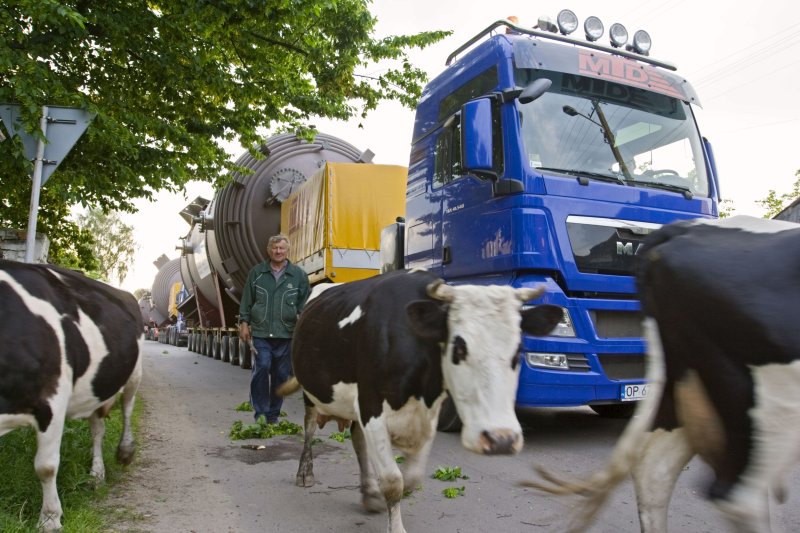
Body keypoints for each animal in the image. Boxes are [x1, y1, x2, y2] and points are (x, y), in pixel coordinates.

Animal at [0, 260, 142, 528]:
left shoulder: (53, 401)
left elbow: (46, 466)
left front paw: (50, 519)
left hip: (134, 373)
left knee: (128, 406)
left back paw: (125, 451)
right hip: (97, 387)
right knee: (98, 430)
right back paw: (96, 474)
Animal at [282, 270, 564, 532]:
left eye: (518, 351)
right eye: (459, 347)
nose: (502, 440)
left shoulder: (427, 416)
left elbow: (412, 478)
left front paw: (378, 499)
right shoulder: (372, 409)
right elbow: (393, 481)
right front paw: (395, 525)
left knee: (358, 440)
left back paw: (369, 492)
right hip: (310, 391)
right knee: (309, 428)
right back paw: (305, 473)